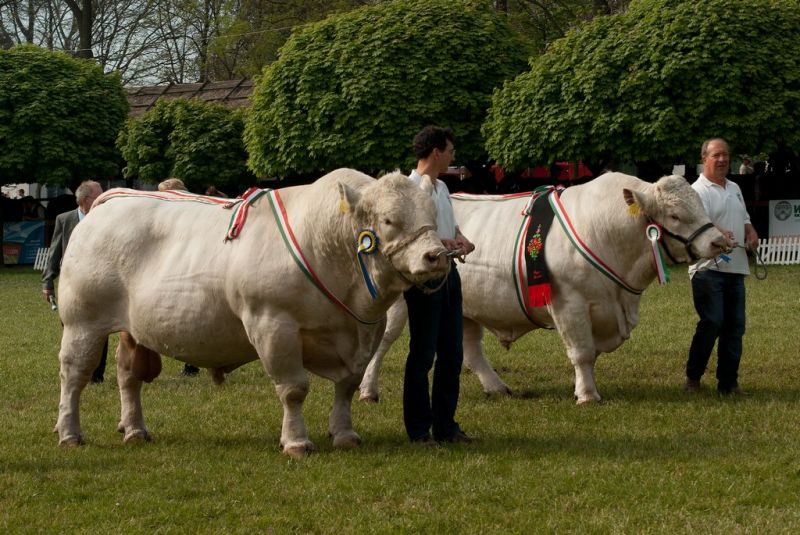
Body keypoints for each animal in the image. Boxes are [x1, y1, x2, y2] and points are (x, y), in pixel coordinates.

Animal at [52, 170, 446, 458]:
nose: (436, 256)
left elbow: (347, 386)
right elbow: (294, 389)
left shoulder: (366, 331)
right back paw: (70, 433)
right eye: (389, 220)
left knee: (128, 376)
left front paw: (345, 433)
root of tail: (111, 201)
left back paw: (134, 429)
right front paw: (296, 442)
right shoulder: (273, 324)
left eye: (432, 215)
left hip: (133, 330)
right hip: (82, 322)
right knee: (74, 376)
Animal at [360, 174, 728, 404]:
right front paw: (587, 395)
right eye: (674, 215)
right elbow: (582, 352)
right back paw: (368, 390)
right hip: (399, 306)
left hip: (467, 308)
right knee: (383, 343)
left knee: (472, 350)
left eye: (700, 205)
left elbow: (590, 352)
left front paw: (583, 388)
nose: (718, 241)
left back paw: (497, 387)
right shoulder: (569, 303)